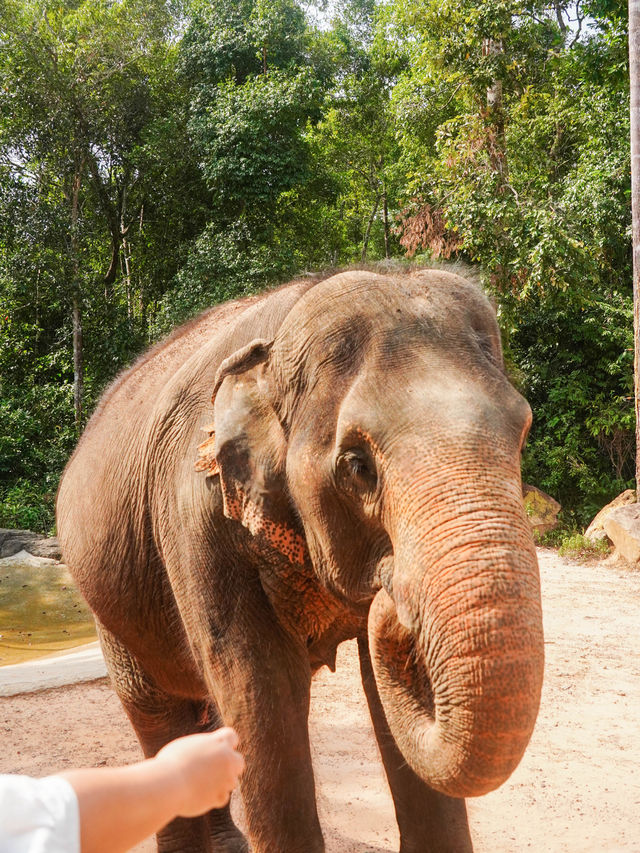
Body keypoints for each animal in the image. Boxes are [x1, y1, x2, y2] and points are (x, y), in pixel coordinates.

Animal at [57, 270, 544, 852]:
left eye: (521, 434)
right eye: (357, 466)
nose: (394, 603)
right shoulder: (194, 512)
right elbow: (260, 689)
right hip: (108, 606)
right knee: (157, 711)